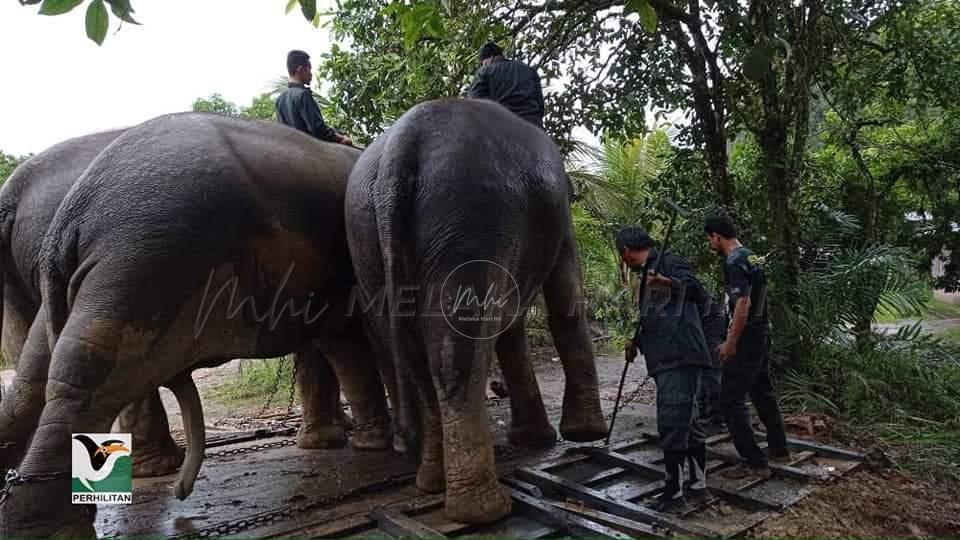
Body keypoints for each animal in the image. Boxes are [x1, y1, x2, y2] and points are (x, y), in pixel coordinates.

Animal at [0, 113, 394, 536]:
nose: (181, 493)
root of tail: (68, 217)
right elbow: (344, 339)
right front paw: (363, 442)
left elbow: (330, 340)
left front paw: (338, 440)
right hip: (143, 258)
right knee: (86, 376)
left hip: (94, 270)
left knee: (38, 373)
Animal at [346, 98, 608, 524]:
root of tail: (400, 148)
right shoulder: (560, 219)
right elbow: (565, 300)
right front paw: (584, 434)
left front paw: (537, 439)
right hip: (468, 220)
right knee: (454, 353)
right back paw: (485, 510)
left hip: (366, 236)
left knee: (417, 355)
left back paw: (432, 483)